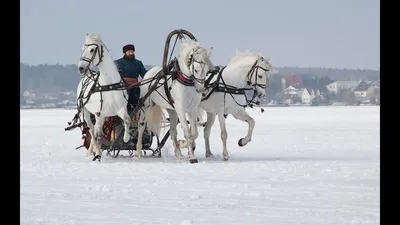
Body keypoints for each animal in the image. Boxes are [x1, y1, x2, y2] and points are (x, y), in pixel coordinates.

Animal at [76, 32, 130, 161]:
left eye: (92, 50)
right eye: (82, 49)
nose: (81, 68)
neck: (108, 85)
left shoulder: (120, 109)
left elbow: (127, 120)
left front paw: (126, 138)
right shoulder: (99, 113)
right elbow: (99, 135)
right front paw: (97, 155)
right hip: (86, 113)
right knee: (92, 131)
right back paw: (94, 151)